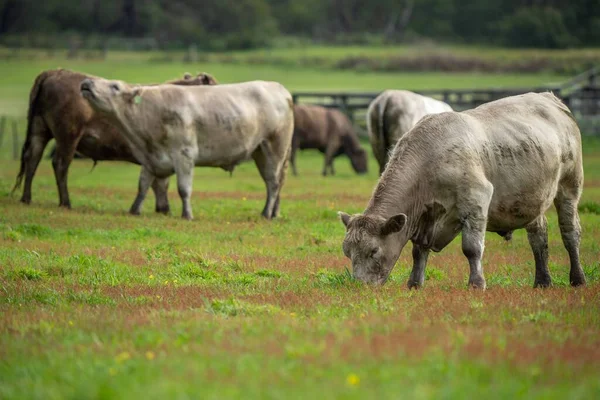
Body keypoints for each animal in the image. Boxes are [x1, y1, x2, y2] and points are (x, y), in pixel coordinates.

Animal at [11, 69, 217, 212]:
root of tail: (54, 72)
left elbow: (159, 182)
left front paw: (162, 208)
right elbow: (160, 182)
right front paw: (163, 208)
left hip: (39, 130)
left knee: (32, 159)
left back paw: (26, 198)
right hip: (68, 136)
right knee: (60, 164)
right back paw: (65, 202)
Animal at [81, 78, 294, 220]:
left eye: (115, 86)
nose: (87, 82)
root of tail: (280, 88)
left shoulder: (184, 155)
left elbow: (183, 188)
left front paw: (187, 214)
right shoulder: (150, 159)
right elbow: (142, 186)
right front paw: (134, 210)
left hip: (274, 148)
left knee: (273, 183)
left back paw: (266, 213)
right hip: (260, 152)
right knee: (275, 183)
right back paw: (273, 213)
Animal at [342, 92, 584, 290]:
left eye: (374, 251)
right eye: (347, 252)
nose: (360, 285)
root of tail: (550, 98)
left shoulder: (476, 198)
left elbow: (472, 248)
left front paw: (476, 283)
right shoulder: (427, 216)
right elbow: (418, 251)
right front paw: (414, 283)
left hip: (569, 186)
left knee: (570, 232)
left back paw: (578, 278)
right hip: (532, 198)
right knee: (538, 237)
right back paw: (542, 281)